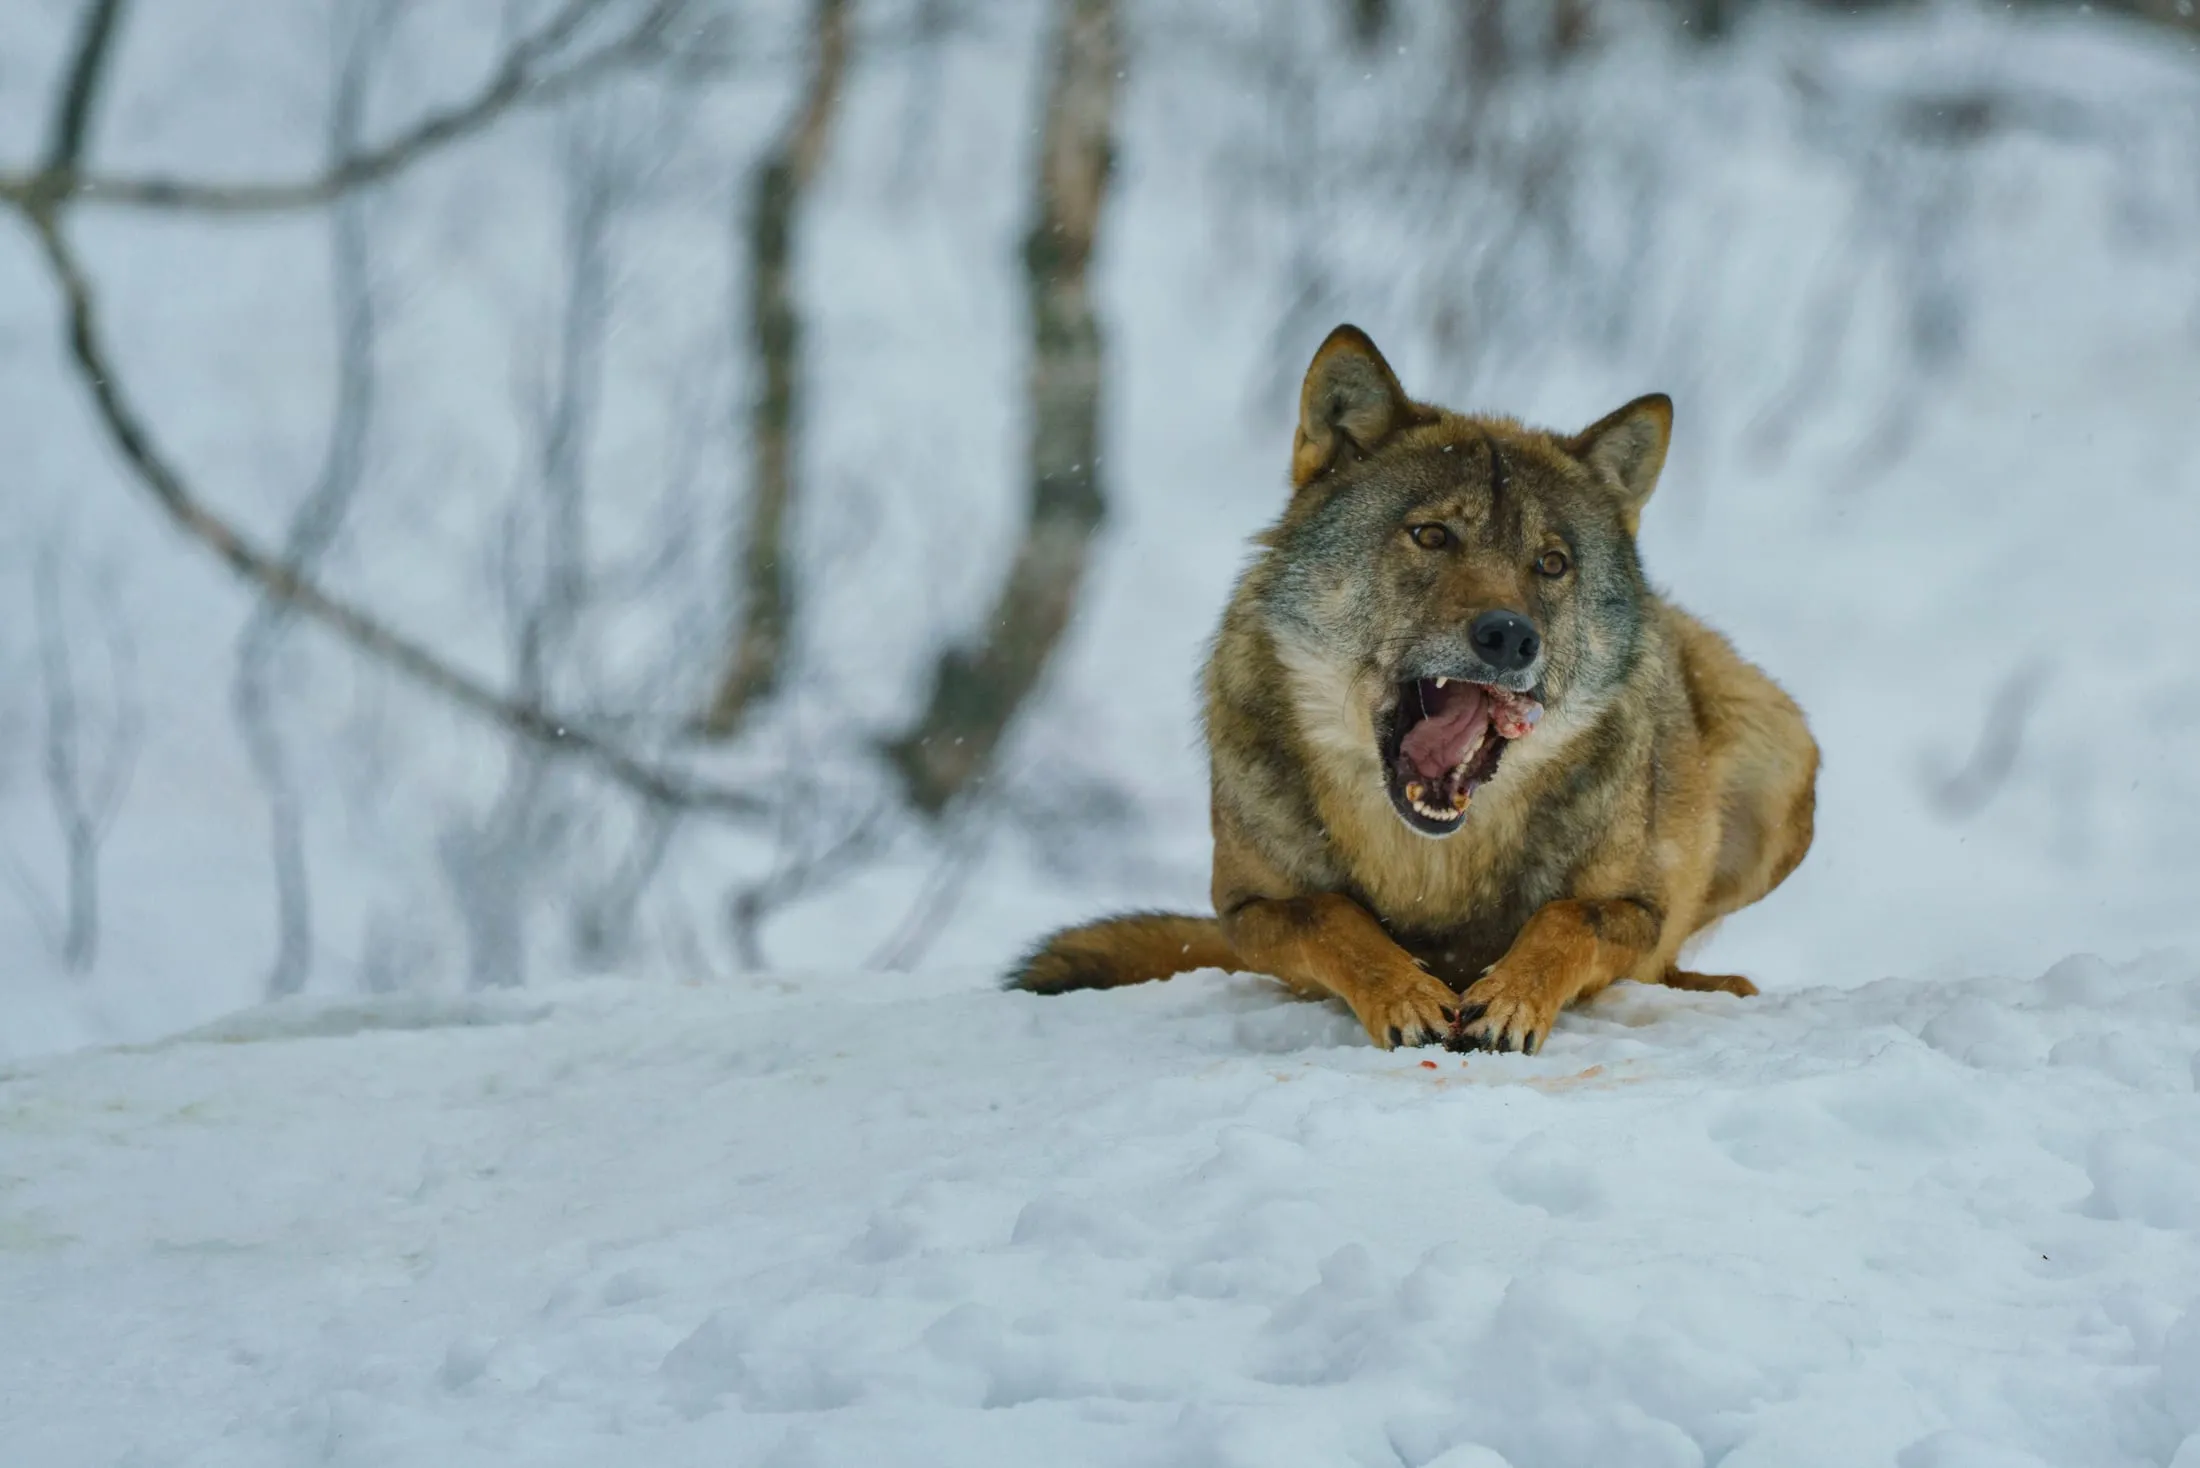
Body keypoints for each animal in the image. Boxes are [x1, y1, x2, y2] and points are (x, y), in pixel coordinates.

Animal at [1009, 325, 1818, 1054]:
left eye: (1552, 564)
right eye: (1431, 536)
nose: (1510, 637)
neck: (1431, 863)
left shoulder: (1636, 908)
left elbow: (1567, 920)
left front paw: (1511, 999)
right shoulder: (1247, 908)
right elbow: (1333, 915)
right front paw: (1404, 993)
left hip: (1780, 754)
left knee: (1667, 964)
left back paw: (1712, 985)